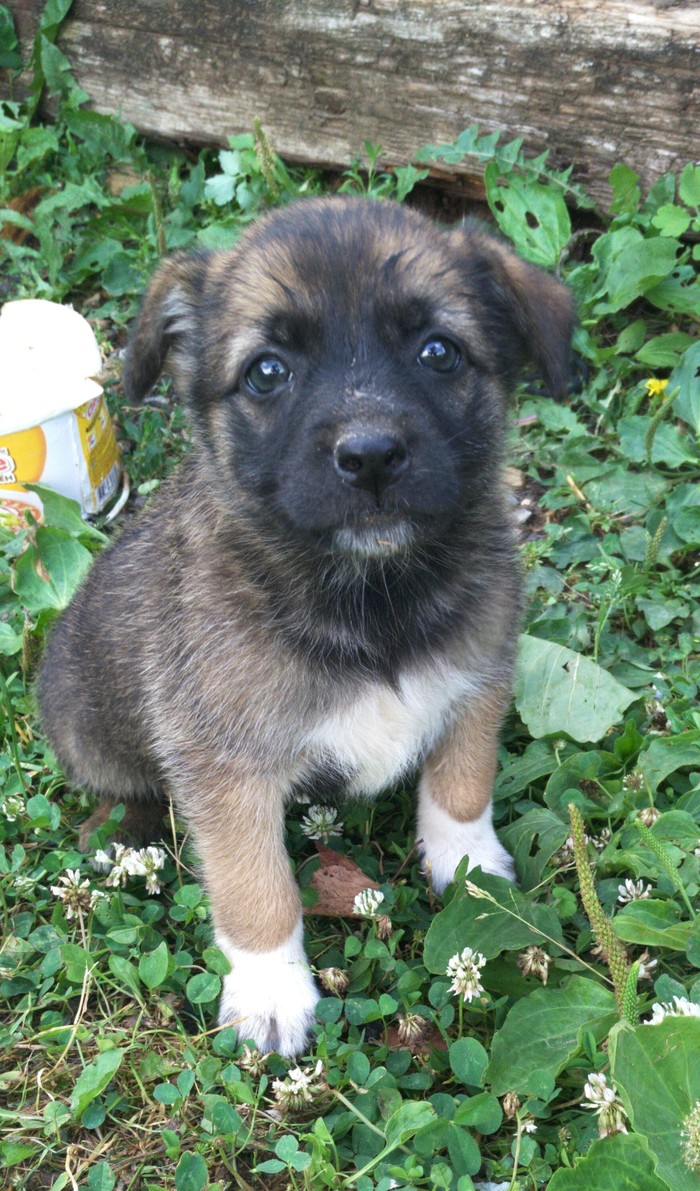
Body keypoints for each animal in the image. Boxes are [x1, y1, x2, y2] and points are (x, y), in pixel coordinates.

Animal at [35, 197, 573, 1062]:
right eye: (267, 371)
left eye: (439, 351)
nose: (371, 455)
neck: (369, 595)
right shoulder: (226, 767)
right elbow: (256, 888)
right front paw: (271, 991)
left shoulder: (478, 675)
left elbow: (462, 783)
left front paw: (469, 866)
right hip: (90, 723)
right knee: (122, 786)